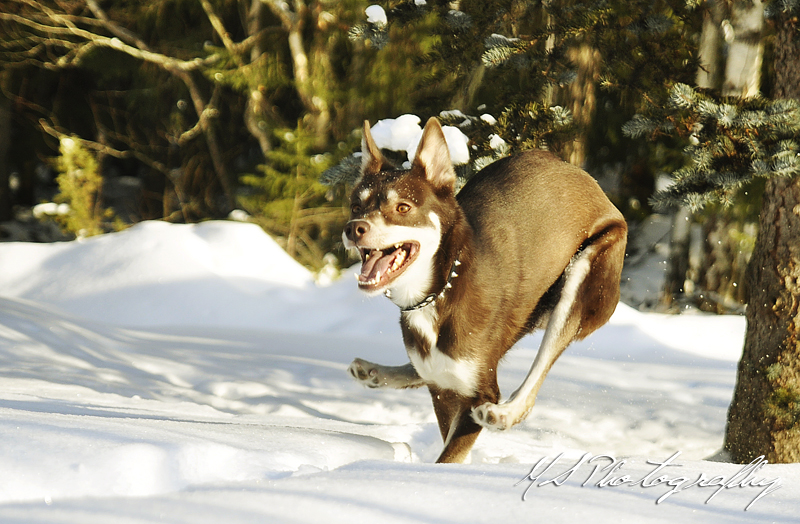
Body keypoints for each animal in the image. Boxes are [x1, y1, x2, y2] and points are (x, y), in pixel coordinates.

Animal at [340, 117, 628, 462]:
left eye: (403, 207)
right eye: (356, 205)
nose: (353, 228)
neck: (439, 291)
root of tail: (590, 183)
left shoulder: (477, 393)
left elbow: (449, 455)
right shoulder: (443, 391)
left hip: (582, 278)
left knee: (532, 386)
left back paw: (503, 414)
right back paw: (373, 371)